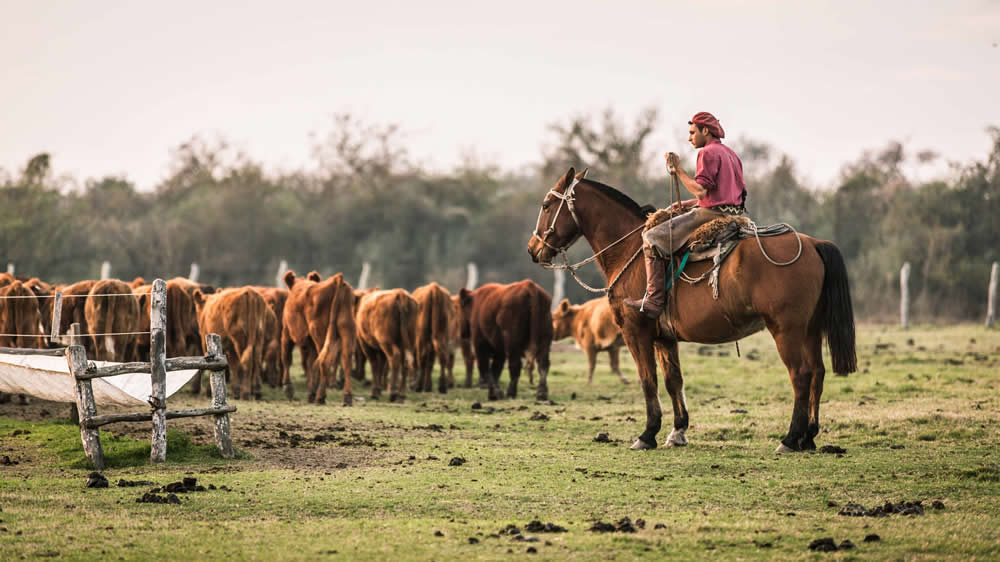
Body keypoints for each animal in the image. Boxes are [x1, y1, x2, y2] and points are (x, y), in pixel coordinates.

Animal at [280, 270, 358, 402]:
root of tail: (336, 279)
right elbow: (310, 363)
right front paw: (311, 390)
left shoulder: (286, 332)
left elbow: (287, 358)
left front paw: (288, 387)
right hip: (347, 330)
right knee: (346, 360)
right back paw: (346, 397)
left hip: (320, 333)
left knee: (325, 362)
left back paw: (320, 396)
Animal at [528, 168, 856, 452]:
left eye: (546, 205)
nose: (533, 249)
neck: (630, 250)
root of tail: (813, 243)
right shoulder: (664, 338)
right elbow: (673, 381)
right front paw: (677, 431)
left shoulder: (636, 333)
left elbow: (648, 380)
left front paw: (647, 433)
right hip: (810, 329)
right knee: (817, 373)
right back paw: (808, 437)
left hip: (786, 330)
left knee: (800, 375)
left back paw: (790, 438)